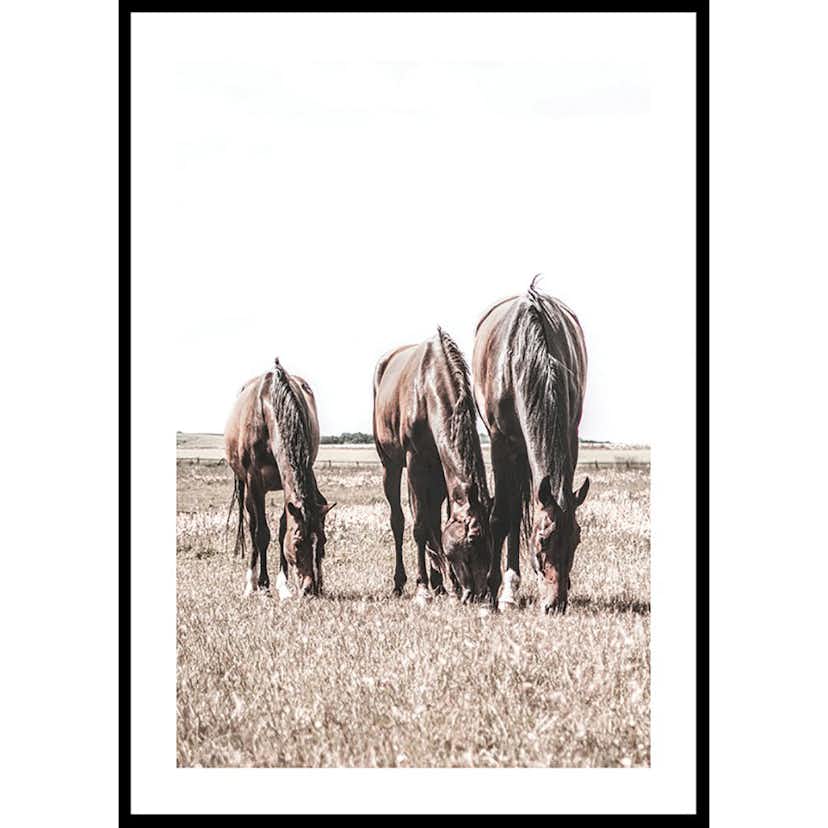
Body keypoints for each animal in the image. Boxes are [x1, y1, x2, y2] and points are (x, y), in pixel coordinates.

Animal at [224, 358, 335, 599]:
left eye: (323, 540)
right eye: (298, 543)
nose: (311, 589)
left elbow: (283, 528)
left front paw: (283, 586)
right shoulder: (254, 480)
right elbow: (261, 534)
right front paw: (261, 585)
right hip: (248, 490)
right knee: (252, 526)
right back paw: (253, 583)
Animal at [373, 327, 492, 605]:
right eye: (472, 539)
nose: (477, 595)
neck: (428, 389)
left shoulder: (440, 468)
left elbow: (437, 524)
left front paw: (448, 585)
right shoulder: (414, 462)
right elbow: (419, 526)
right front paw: (422, 587)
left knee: (433, 520)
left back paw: (439, 583)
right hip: (390, 465)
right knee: (399, 520)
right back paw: (401, 583)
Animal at [472, 276, 589, 614]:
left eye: (576, 539)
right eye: (542, 540)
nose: (555, 604)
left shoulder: (570, 435)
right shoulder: (500, 441)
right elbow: (501, 516)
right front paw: (491, 594)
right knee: (511, 510)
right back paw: (507, 591)